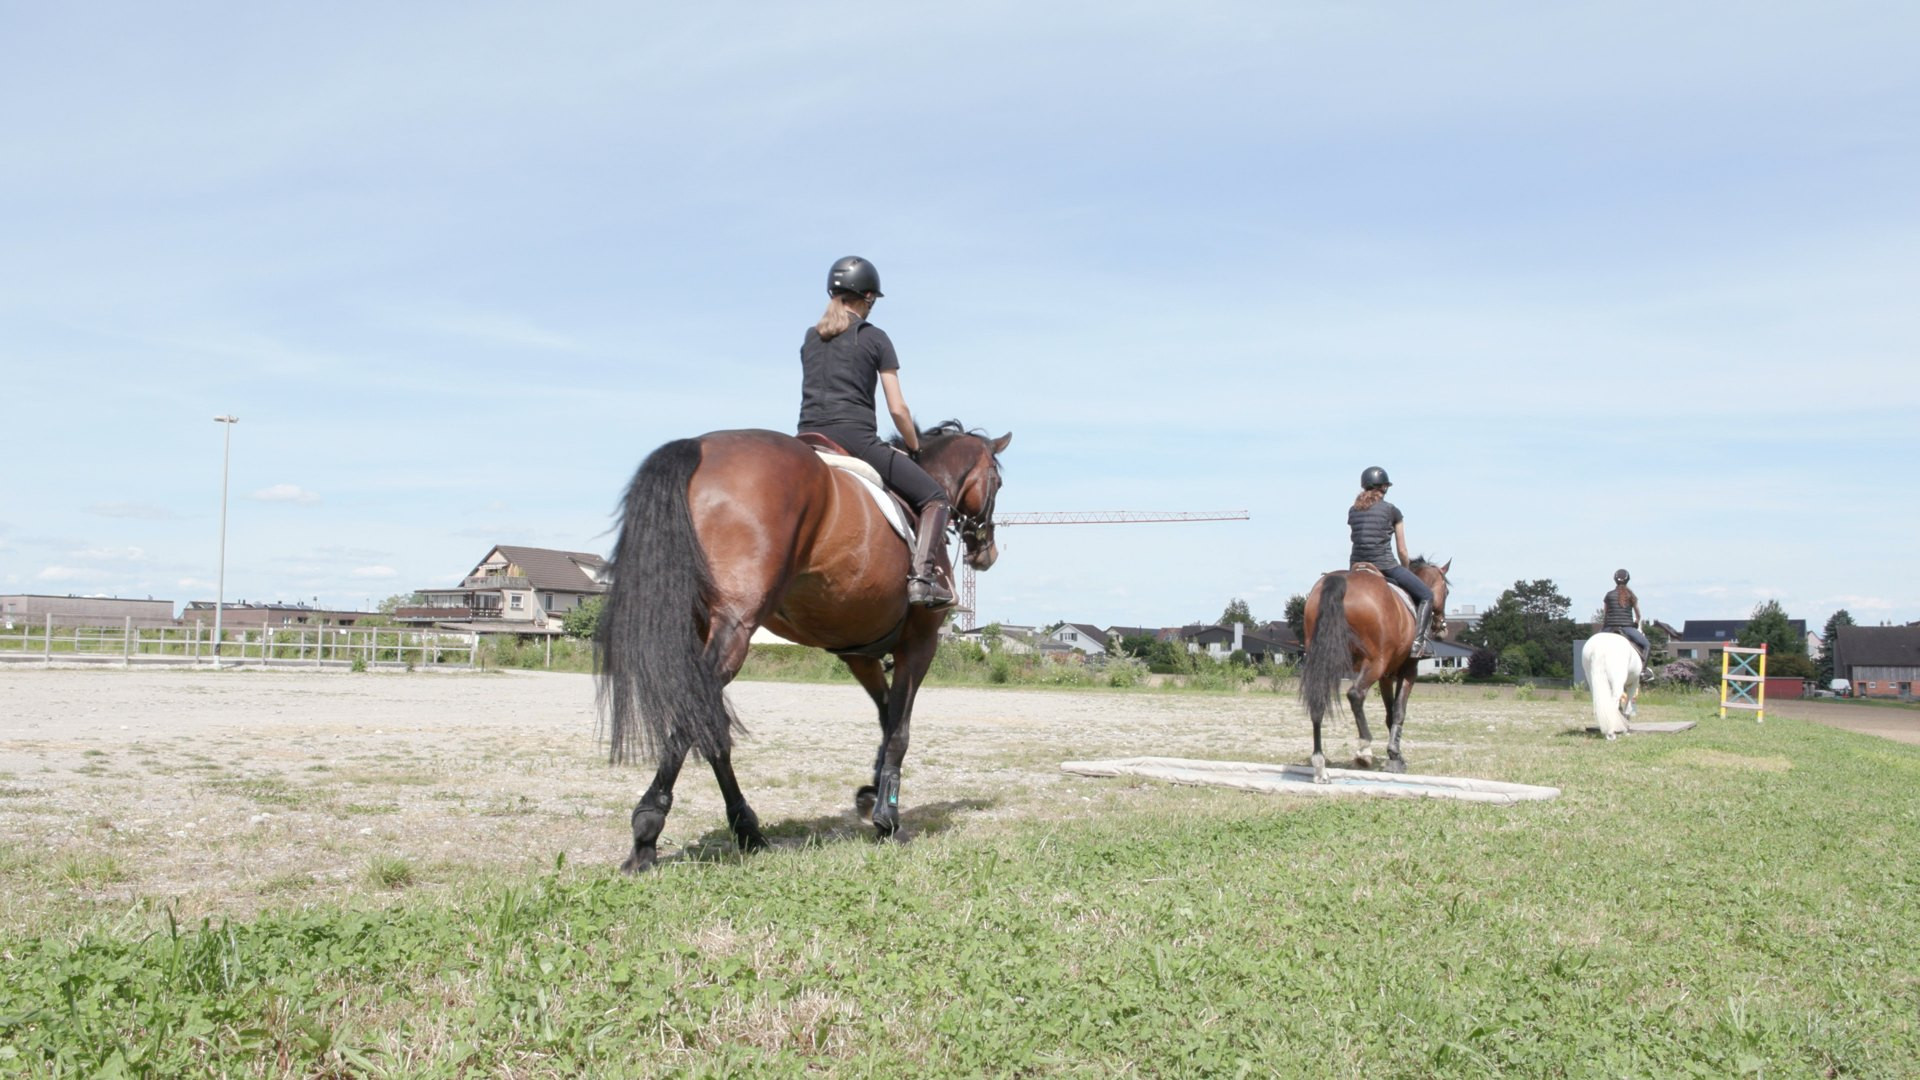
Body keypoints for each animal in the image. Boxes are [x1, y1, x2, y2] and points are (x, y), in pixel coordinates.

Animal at [596, 421, 1010, 872]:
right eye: (998, 480)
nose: (987, 552)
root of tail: (698, 447)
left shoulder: (858, 652)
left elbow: (886, 717)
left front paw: (871, 795)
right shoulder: (919, 645)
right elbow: (899, 729)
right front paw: (888, 818)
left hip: (702, 626)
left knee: (710, 727)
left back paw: (748, 830)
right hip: (735, 627)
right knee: (696, 714)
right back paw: (647, 833)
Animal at [1297, 559, 1451, 783]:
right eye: (1446, 591)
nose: (1442, 630)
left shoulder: (1385, 676)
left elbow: (1389, 713)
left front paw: (1394, 753)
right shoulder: (1408, 671)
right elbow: (1398, 711)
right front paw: (1395, 757)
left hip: (1325, 658)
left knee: (1319, 700)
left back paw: (1320, 766)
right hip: (1374, 662)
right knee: (1355, 694)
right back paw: (1364, 750)